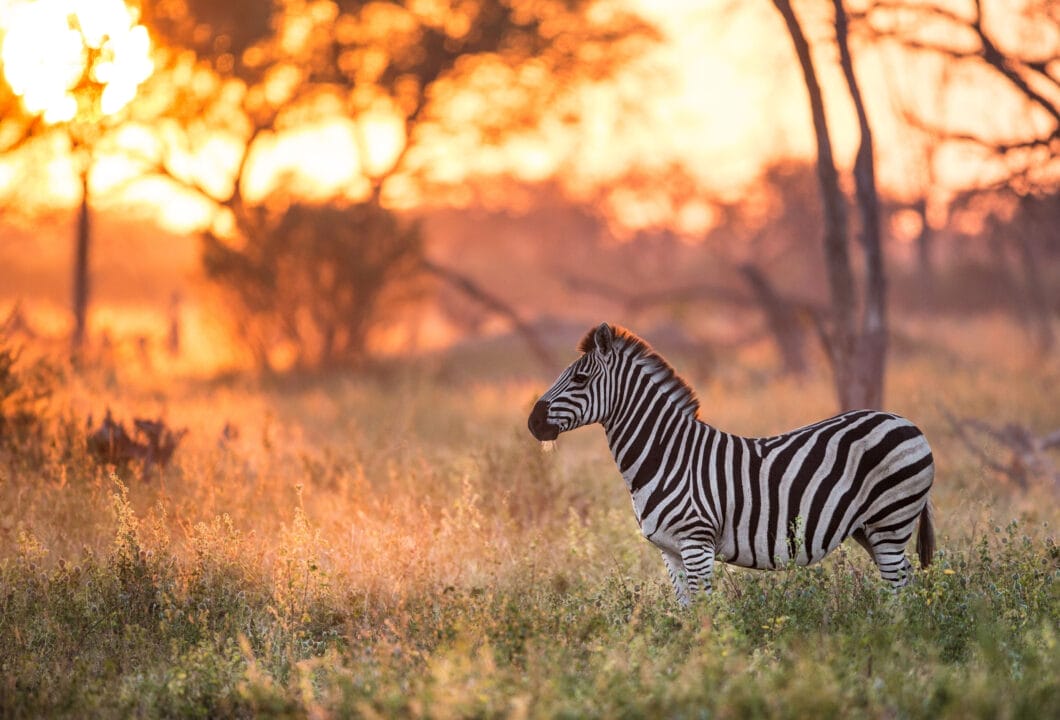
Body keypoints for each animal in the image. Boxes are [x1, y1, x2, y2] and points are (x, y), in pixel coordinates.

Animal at [527, 323, 935, 607]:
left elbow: (706, 610)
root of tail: (907, 422)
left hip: (890, 519)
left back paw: (894, 641)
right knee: (906, 581)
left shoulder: (696, 542)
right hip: (869, 527)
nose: (532, 422)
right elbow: (686, 612)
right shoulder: (669, 551)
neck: (666, 455)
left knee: (900, 587)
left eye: (580, 378)